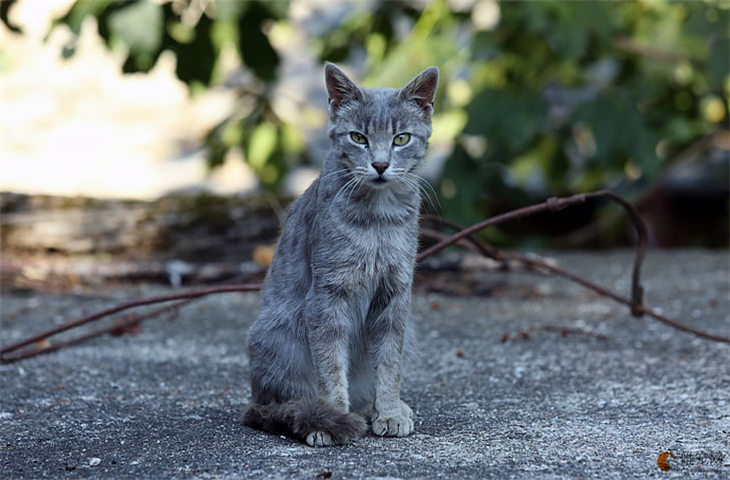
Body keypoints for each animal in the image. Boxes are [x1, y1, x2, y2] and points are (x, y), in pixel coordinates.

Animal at [245, 62, 438, 446]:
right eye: (358, 138)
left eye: (401, 139)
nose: (380, 164)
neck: (378, 218)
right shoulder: (326, 295)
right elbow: (330, 364)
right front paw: (332, 417)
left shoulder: (395, 294)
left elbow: (389, 363)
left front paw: (389, 411)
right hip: (277, 332)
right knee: (283, 398)